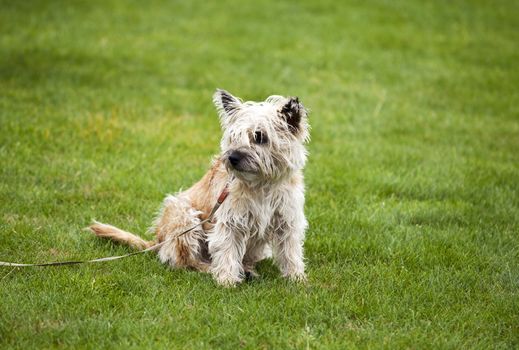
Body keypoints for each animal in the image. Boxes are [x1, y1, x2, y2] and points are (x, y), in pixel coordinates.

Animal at [88, 89, 308, 286]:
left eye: (259, 136)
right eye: (233, 137)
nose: (232, 158)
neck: (262, 184)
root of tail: (158, 241)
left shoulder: (287, 221)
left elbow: (290, 251)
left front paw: (296, 278)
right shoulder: (230, 223)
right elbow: (227, 250)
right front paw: (227, 280)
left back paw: (248, 270)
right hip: (184, 215)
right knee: (186, 261)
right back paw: (210, 269)